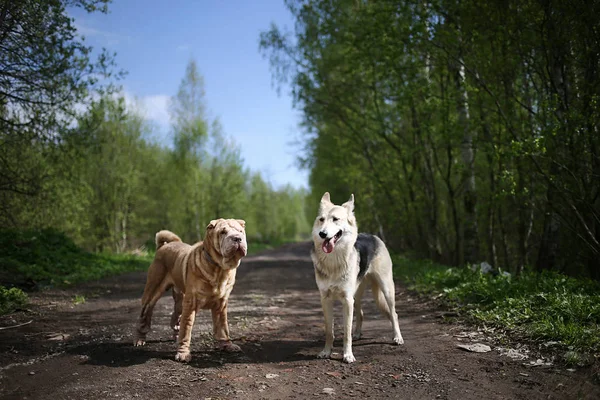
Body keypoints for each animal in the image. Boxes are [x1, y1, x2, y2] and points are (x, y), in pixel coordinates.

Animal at [134, 219, 248, 362]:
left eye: (240, 231)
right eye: (223, 232)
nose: (237, 238)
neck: (219, 269)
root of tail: (163, 246)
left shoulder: (221, 304)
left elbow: (222, 326)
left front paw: (227, 345)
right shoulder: (191, 303)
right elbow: (186, 329)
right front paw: (183, 353)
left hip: (180, 298)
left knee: (176, 315)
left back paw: (175, 334)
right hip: (152, 292)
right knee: (144, 315)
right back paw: (139, 339)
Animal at [310, 192, 404, 364]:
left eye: (335, 219)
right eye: (321, 219)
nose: (322, 234)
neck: (334, 261)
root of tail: (373, 236)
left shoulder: (347, 300)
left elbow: (346, 332)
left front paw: (348, 355)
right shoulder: (326, 299)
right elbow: (329, 330)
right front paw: (326, 351)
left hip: (386, 289)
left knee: (394, 314)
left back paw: (397, 337)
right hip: (357, 295)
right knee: (361, 313)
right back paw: (358, 333)